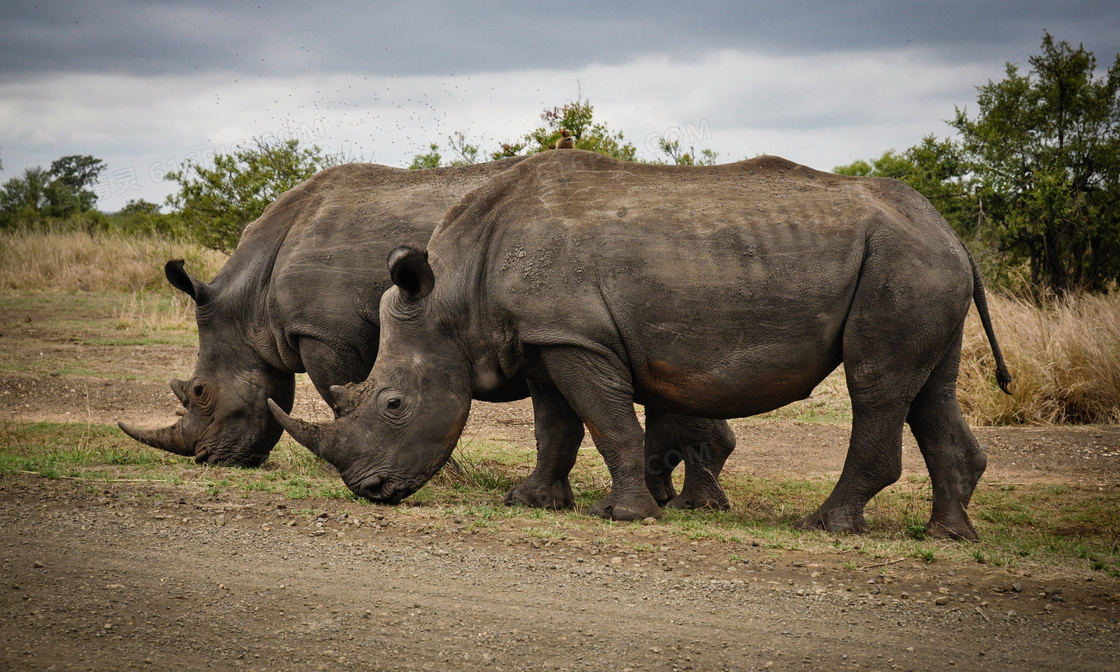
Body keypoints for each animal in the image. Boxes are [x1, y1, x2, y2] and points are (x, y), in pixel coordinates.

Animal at [273, 150, 1016, 537]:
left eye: (393, 404)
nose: (369, 490)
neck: (454, 296)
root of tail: (953, 234)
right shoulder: (546, 338)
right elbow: (555, 427)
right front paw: (531, 502)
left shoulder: (577, 339)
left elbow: (605, 422)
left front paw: (624, 515)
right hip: (919, 265)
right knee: (928, 389)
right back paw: (948, 534)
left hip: (903, 265)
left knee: (876, 385)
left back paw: (826, 525)